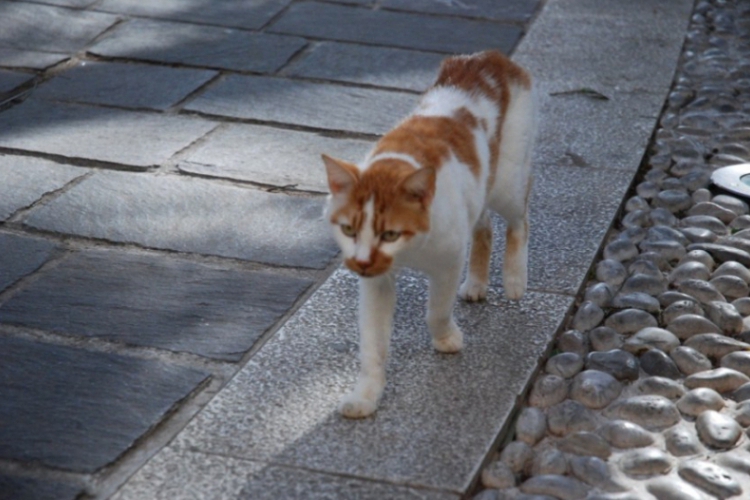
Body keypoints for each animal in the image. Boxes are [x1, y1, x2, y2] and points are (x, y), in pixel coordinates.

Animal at [320, 49, 536, 418]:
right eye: (348, 229)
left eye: (390, 234)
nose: (361, 262)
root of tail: (487, 57)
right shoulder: (376, 282)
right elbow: (373, 344)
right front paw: (366, 395)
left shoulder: (449, 261)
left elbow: (437, 310)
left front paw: (446, 339)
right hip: (480, 192)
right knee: (484, 228)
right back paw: (476, 284)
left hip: (506, 181)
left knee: (519, 220)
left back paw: (514, 279)